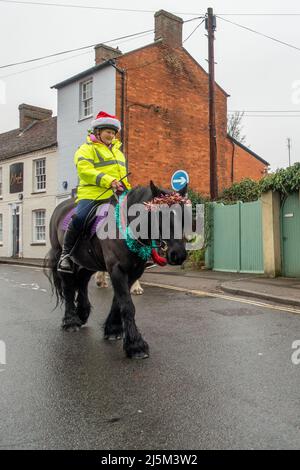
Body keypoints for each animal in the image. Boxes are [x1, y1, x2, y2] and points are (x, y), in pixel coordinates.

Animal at [45, 182, 186, 358]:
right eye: (160, 214)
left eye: (185, 215)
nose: (178, 254)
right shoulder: (117, 269)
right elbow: (127, 305)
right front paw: (136, 345)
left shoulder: (133, 271)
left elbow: (118, 302)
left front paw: (113, 329)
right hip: (62, 256)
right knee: (68, 287)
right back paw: (71, 321)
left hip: (89, 262)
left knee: (82, 281)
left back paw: (82, 313)